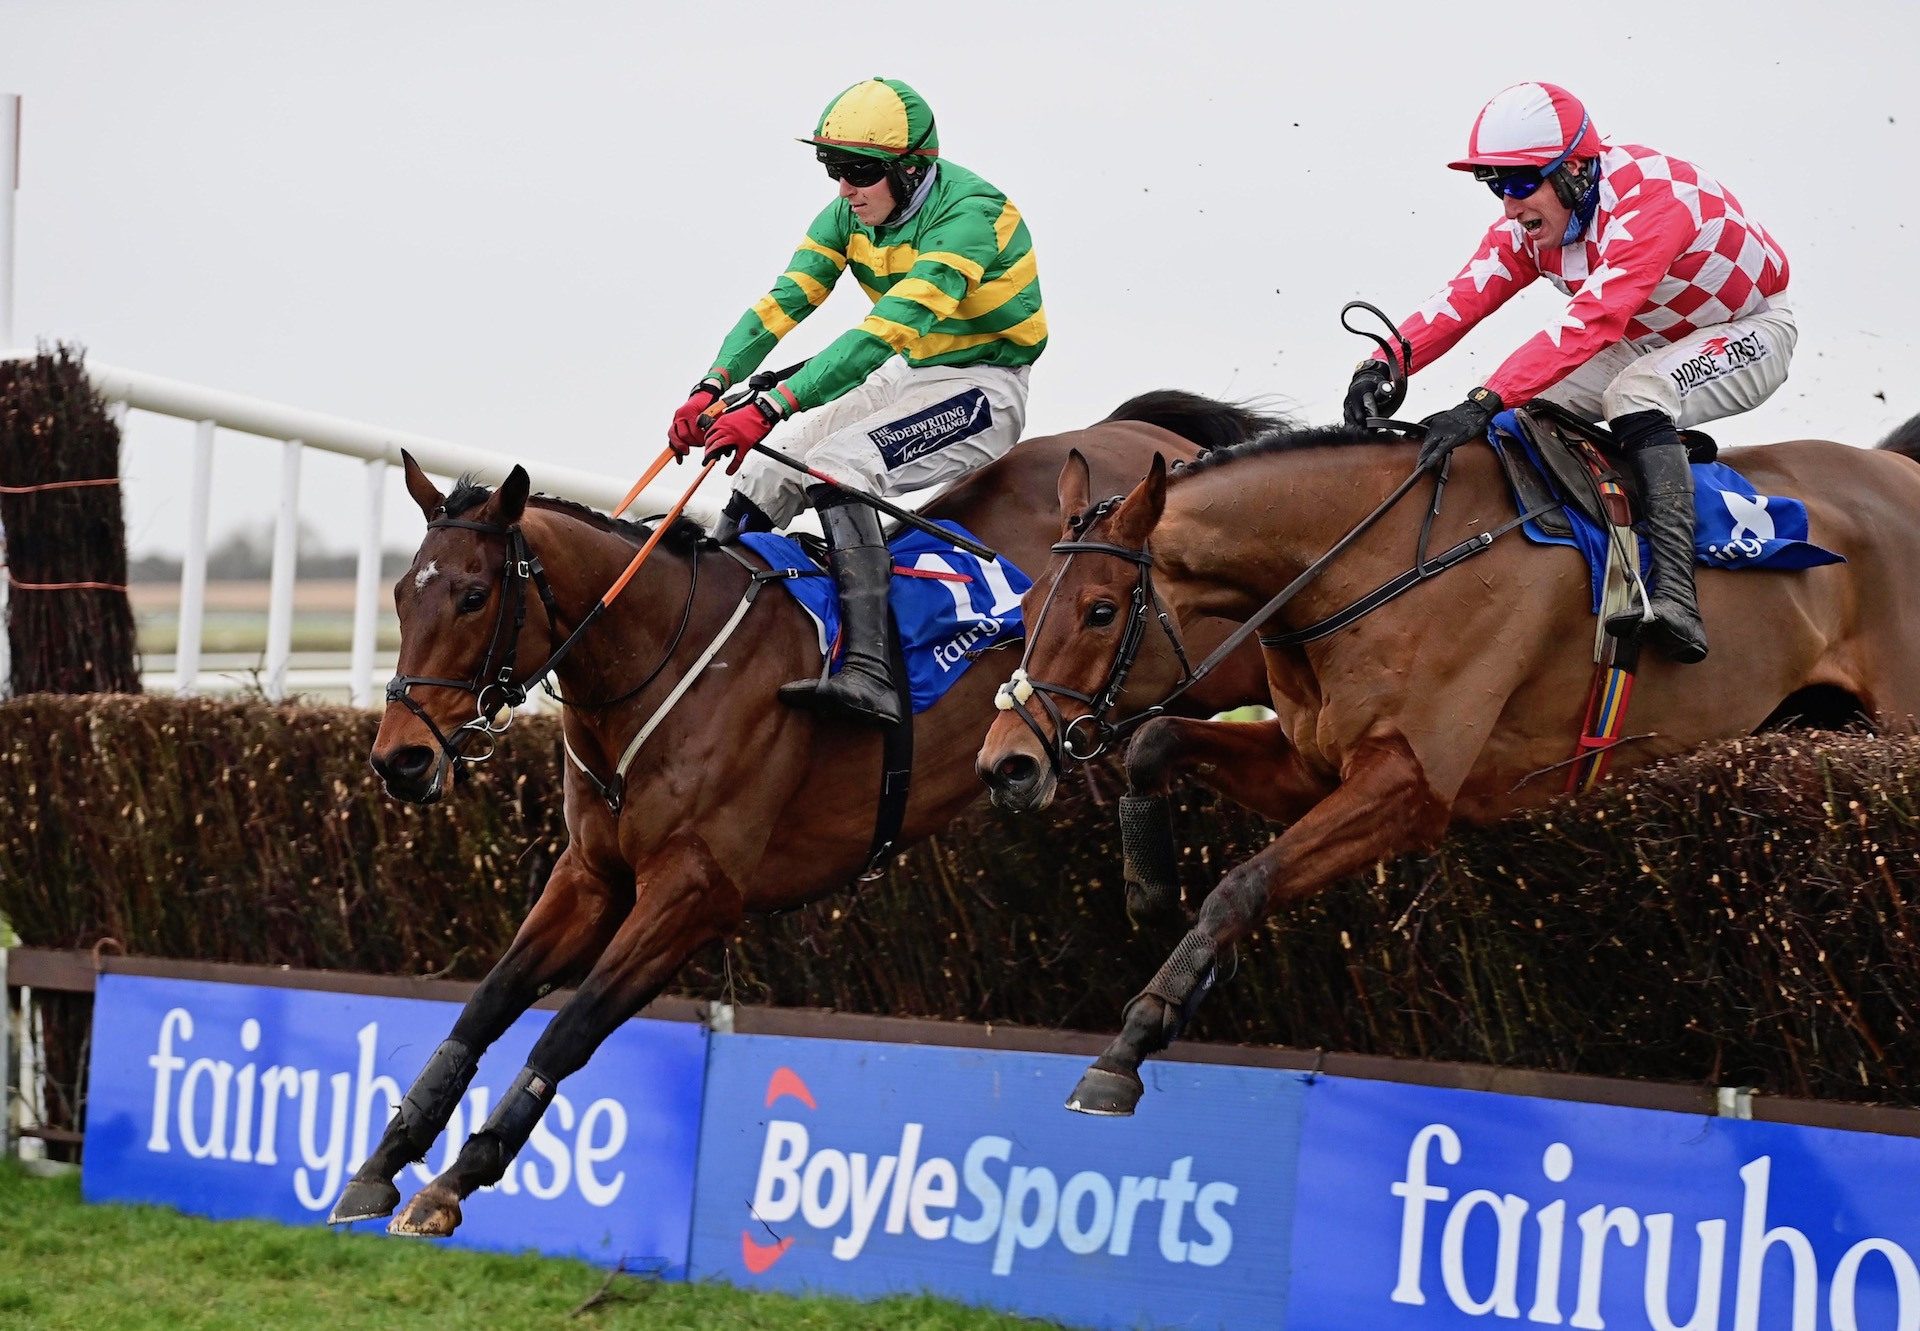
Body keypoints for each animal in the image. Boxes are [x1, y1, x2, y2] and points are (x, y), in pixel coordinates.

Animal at [332, 386, 1282, 1236]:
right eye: (401, 595)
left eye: (472, 596)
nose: (400, 758)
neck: (665, 656)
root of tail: (1143, 434)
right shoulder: (593, 873)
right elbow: (487, 1002)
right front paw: (383, 1161)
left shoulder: (696, 895)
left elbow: (567, 1029)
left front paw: (457, 1174)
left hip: (1222, 659)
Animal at [983, 412, 1920, 1113]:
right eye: (1026, 604)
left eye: (1101, 611)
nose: (1008, 764)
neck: (1377, 559)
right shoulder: (1311, 766)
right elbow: (1155, 743)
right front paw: (1157, 897)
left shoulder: (1411, 785)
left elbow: (1242, 884)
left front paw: (1133, 1038)